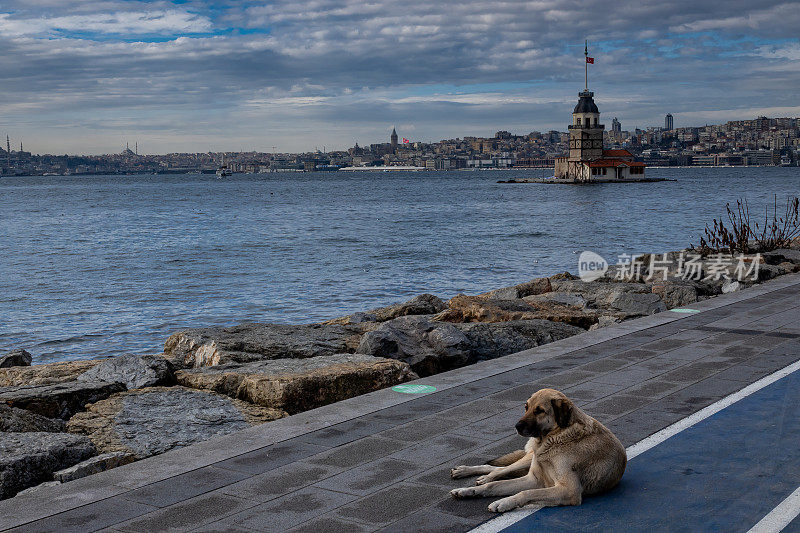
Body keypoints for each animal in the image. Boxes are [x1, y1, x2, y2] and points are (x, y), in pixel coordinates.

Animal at [450, 386, 624, 512]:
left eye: (539, 410)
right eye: (526, 407)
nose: (516, 426)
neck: (556, 437)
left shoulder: (568, 490)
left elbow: (526, 492)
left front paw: (503, 502)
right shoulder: (533, 478)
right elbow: (494, 486)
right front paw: (470, 491)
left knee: (500, 469)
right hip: (528, 459)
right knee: (499, 469)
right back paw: (468, 474)